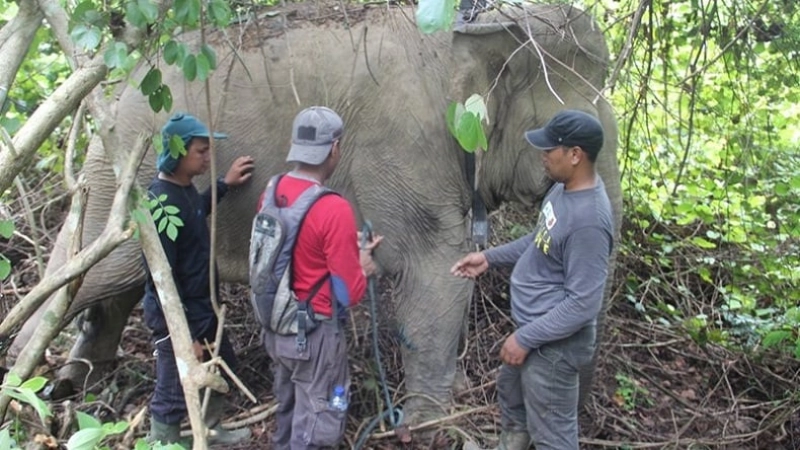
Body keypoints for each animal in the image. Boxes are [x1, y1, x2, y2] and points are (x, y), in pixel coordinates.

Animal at [9, 1, 620, 426]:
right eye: (570, 124)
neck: (476, 24)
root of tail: (120, 85)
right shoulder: (405, 140)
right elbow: (432, 267)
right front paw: (435, 426)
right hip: (128, 174)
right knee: (94, 274)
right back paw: (24, 376)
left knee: (122, 281)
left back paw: (75, 380)